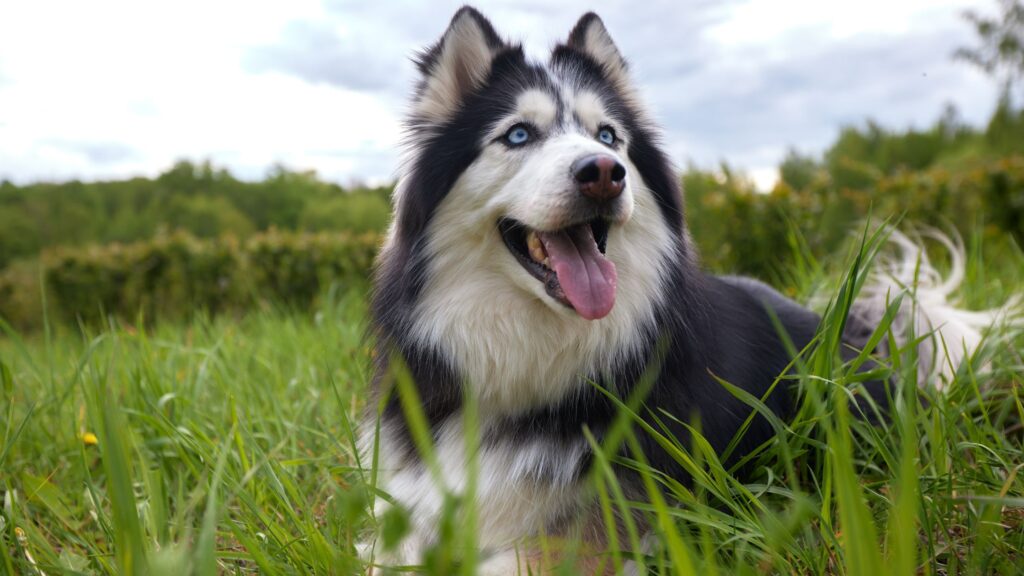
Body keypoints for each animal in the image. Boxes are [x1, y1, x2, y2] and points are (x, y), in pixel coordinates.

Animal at [356, 6, 1011, 569]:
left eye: (608, 136)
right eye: (517, 135)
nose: (604, 173)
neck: (529, 360)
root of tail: (858, 331)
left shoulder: (599, 534)